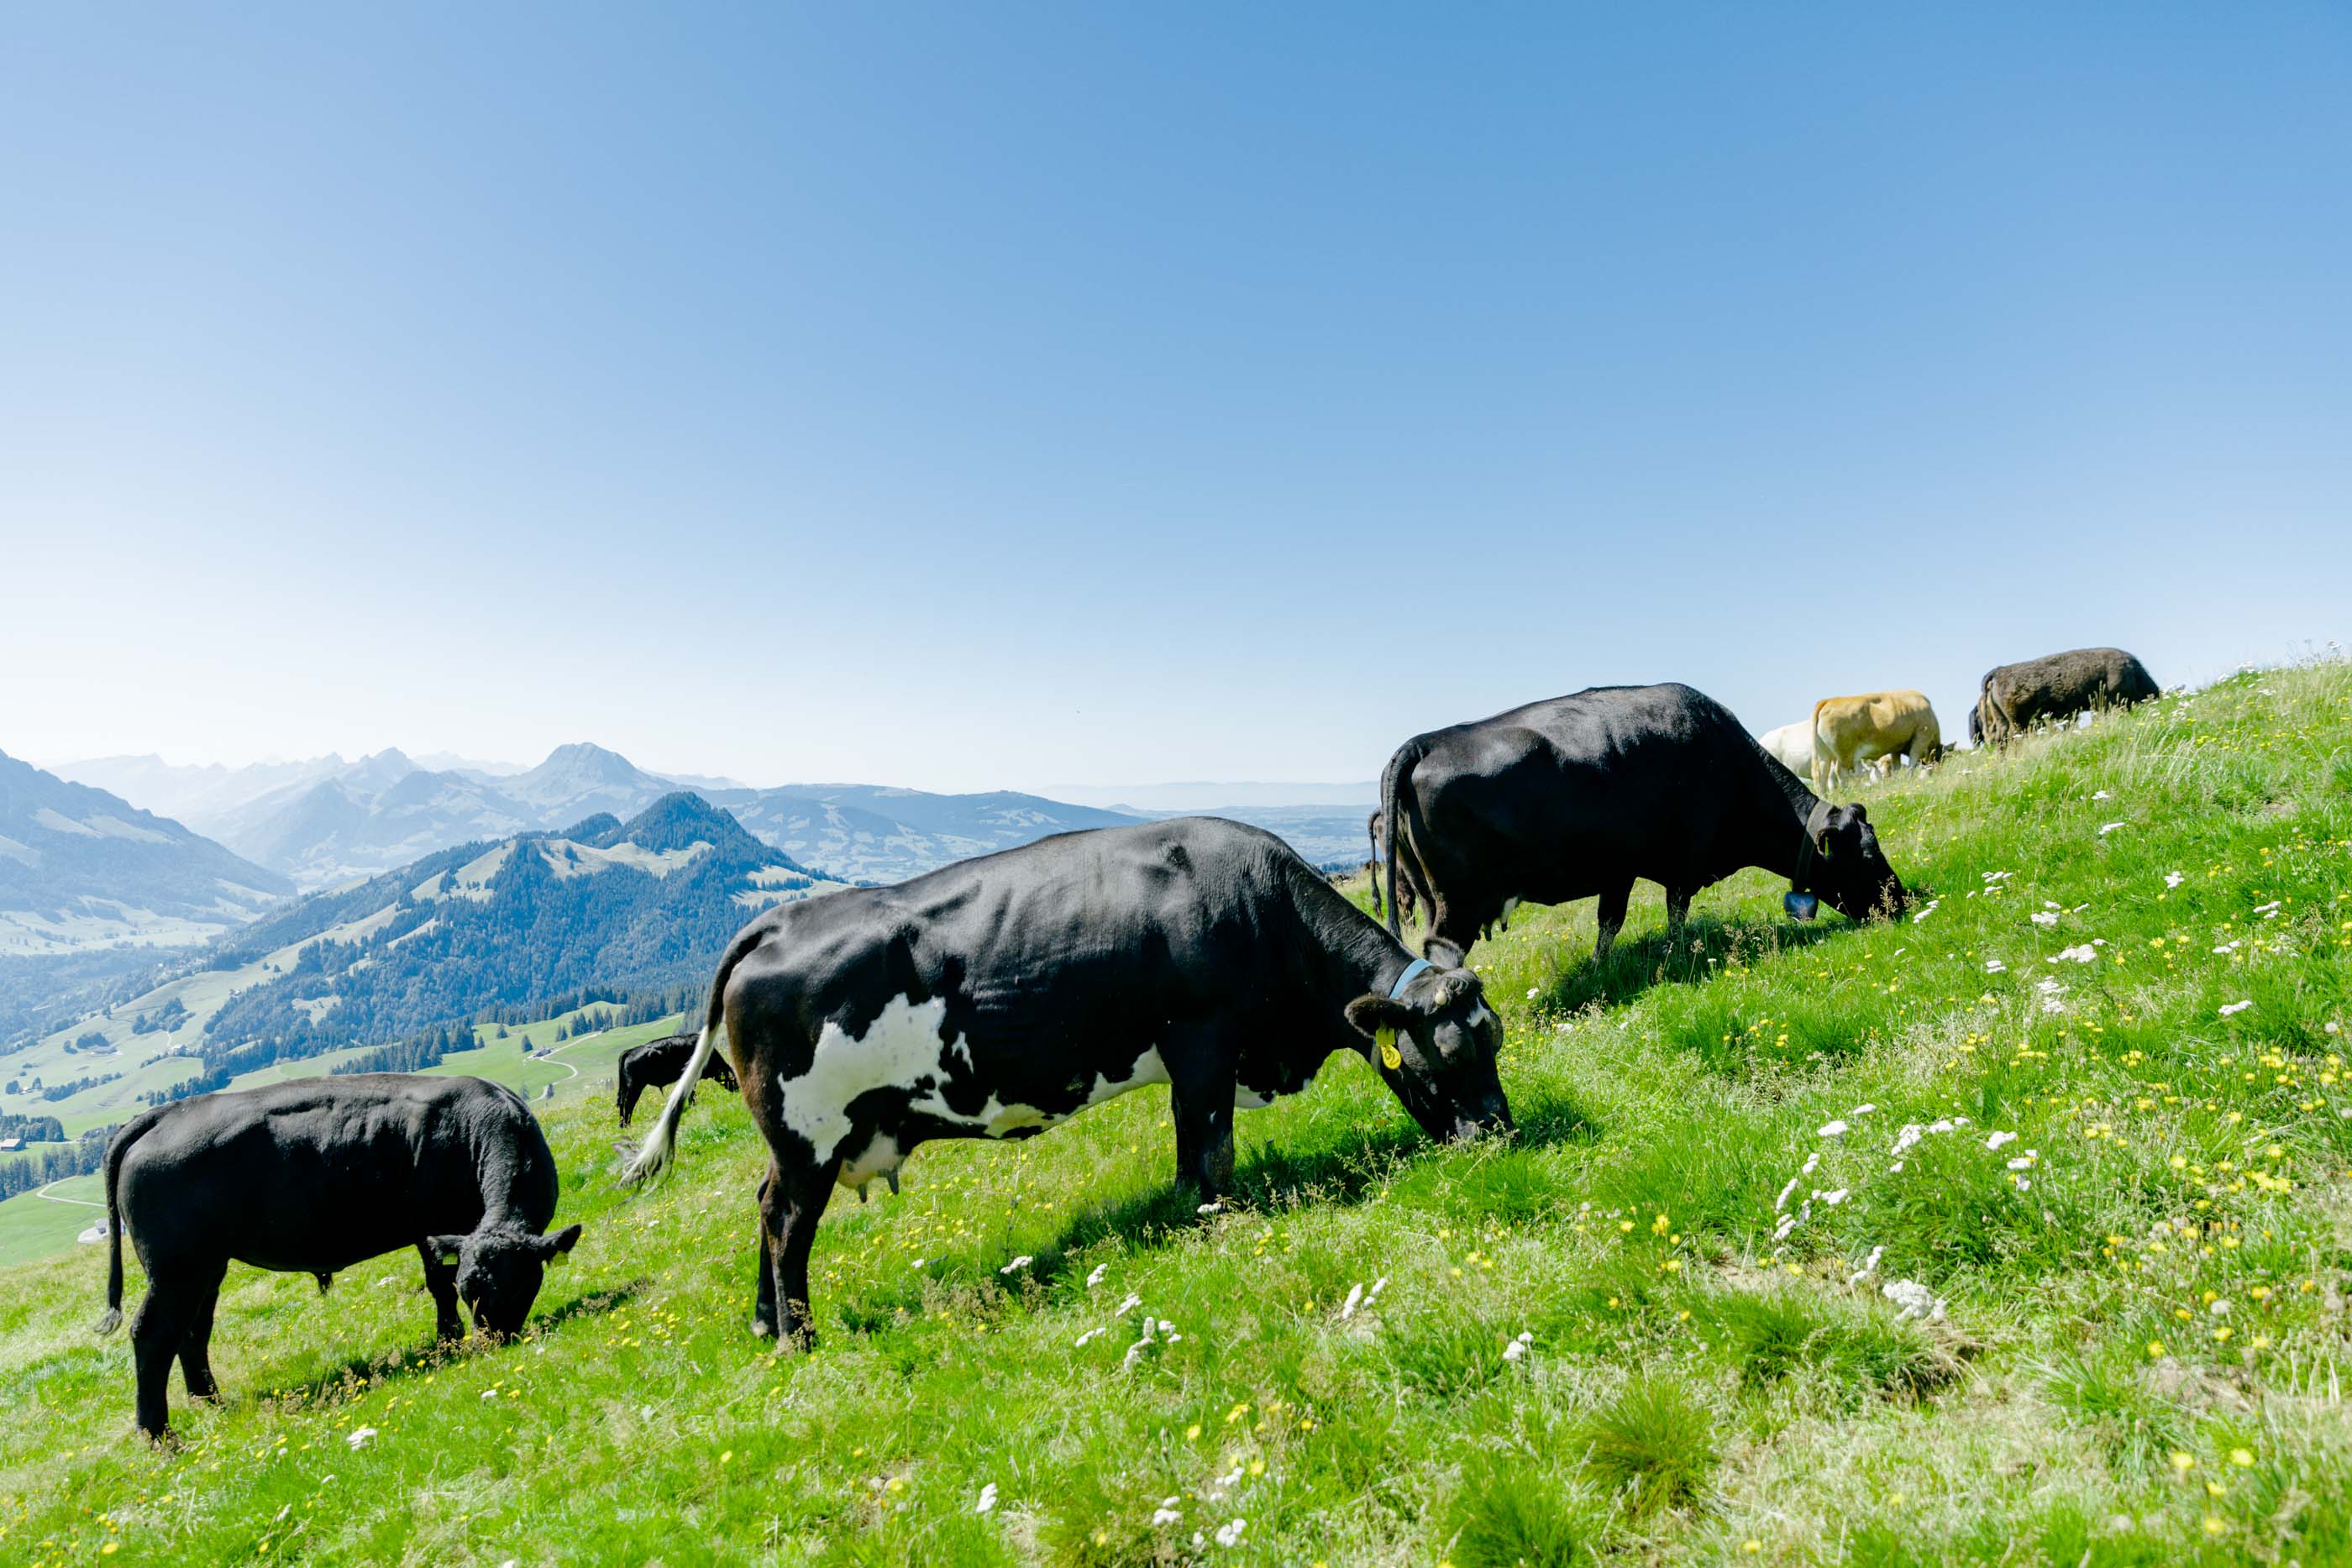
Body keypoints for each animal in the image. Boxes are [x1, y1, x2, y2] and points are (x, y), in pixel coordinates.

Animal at [96, 1081, 583, 1439]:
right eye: (473, 1291)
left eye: (518, 1285)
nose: (495, 1342)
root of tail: (165, 1114)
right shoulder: (429, 1227)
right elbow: (438, 1284)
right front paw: (448, 1340)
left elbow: (437, 1283)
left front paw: (448, 1339)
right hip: (176, 1270)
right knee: (153, 1334)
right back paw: (157, 1433)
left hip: (206, 1269)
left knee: (193, 1332)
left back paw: (211, 1401)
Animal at [616, 1030, 733, 1128]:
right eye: (733, 1076)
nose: (736, 1090)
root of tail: (629, 1051)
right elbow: (691, 1092)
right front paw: (692, 1105)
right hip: (635, 1087)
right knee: (629, 1103)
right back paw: (627, 1124)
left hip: (626, 1087)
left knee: (622, 1102)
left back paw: (622, 1125)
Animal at [1373, 681, 1909, 959]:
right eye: (1867, 857)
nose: (1902, 901)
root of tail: (1423, 742)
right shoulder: (1682, 863)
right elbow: (1671, 914)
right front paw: (1673, 954)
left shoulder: (1620, 871)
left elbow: (1609, 923)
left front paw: (1600, 966)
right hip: (1458, 903)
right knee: (1442, 953)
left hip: (1426, 895)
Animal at [1976, 648, 2154, 747]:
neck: (2134, 673)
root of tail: (1999, 671)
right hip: (2018, 721)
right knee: (2013, 738)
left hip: (2003, 720)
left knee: (2001, 740)